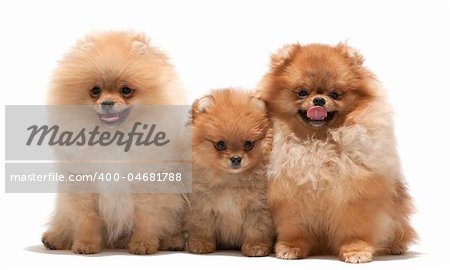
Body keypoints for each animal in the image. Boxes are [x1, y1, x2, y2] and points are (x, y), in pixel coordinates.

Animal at [42, 32, 188, 255]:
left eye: (126, 90)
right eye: (95, 90)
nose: (107, 103)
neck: (114, 138)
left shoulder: (148, 185)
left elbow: (147, 219)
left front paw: (143, 244)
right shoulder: (84, 185)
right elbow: (86, 219)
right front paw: (85, 244)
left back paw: (173, 241)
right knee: (63, 220)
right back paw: (55, 238)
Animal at [183, 89, 274, 256]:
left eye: (248, 144)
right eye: (220, 144)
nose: (236, 158)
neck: (231, 181)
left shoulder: (258, 208)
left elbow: (256, 229)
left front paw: (256, 247)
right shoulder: (202, 206)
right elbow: (203, 227)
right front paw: (201, 244)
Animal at [258, 43, 416, 262]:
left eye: (334, 94)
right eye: (302, 92)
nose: (318, 100)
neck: (317, 142)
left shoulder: (354, 195)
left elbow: (355, 229)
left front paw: (356, 250)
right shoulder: (291, 196)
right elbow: (294, 227)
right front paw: (291, 247)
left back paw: (395, 247)